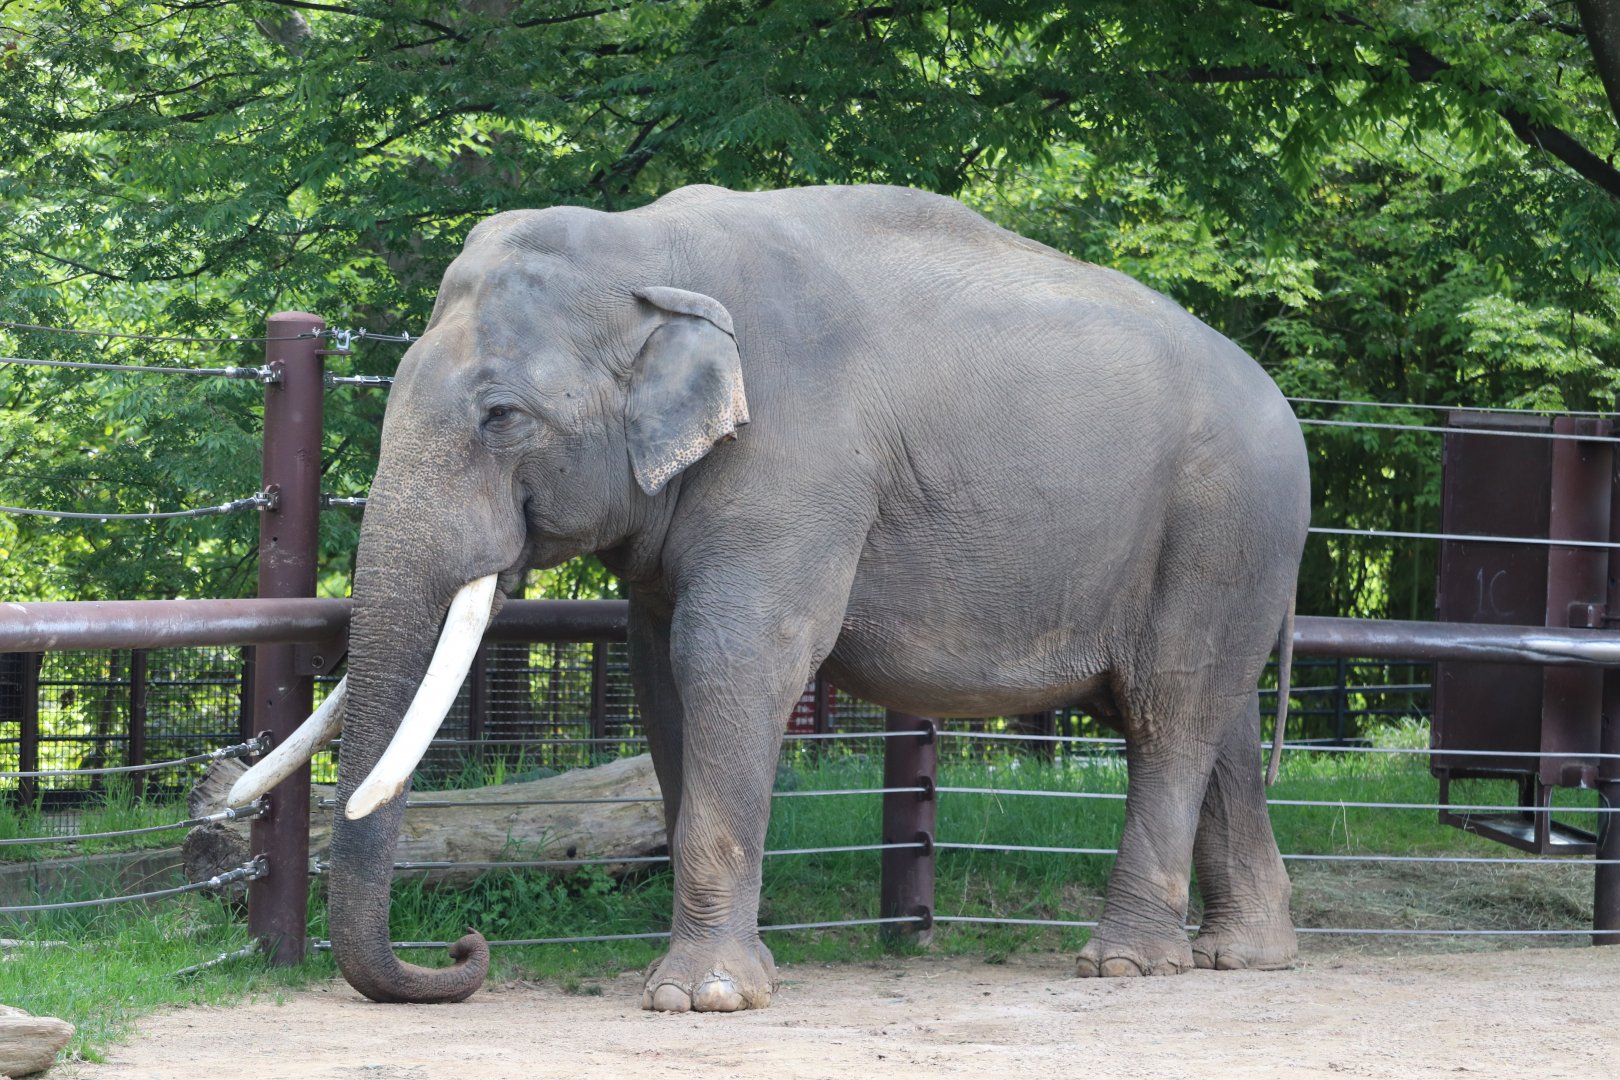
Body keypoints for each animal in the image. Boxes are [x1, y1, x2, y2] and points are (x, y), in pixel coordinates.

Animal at [232, 182, 1310, 1011]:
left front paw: (700, 997)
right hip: (1227, 550)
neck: (646, 249)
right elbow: (660, 670)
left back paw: (1126, 965)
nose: (462, 953)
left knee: (1170, 708)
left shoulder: (798, 459)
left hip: (1220, 523)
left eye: (502, 416)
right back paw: (1244, 955)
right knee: (1218, 718)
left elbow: (731, 653)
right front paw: (716, 972)